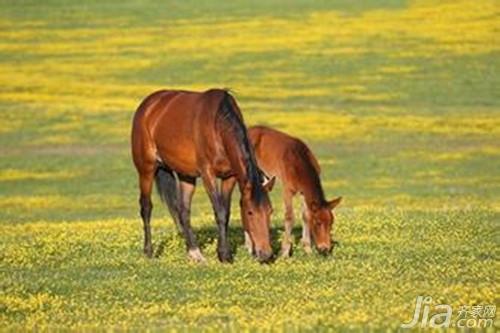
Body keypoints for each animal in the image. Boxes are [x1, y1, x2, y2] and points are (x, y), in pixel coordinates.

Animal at [131, 88, 276, 262]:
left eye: (270, 211)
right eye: (250, 212)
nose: (266, 254)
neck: (218, 126)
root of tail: (148, 105)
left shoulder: (229, 177)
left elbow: (226, 212)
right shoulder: (208, 174)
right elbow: (219, 212)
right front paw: (224, 255)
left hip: (186, 176)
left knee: (183, 211)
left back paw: (194, 253)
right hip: (146, 169)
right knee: (146, 207)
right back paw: (149, 252)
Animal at [247, 126, 342, 255]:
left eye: (331, 222)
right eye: (318, 223)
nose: (325, 248)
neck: (299, 161)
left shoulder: (303, 192)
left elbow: (305, 216)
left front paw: (307, 249)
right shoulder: (288, 189)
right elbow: (289, 217)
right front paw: (285, 251)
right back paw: (249, 246)